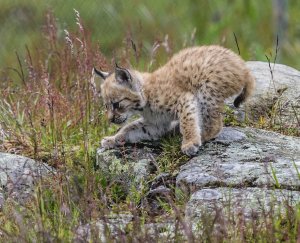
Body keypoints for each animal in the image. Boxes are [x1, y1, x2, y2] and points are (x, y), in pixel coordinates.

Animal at [94, 45, 255, 156]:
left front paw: (190, 142)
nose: (110, 120)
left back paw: (199, 136)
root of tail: (242, 64)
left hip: (206, 90)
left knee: (215, 124)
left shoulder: (184, 99)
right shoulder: (157, 123)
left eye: (117, 104)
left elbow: (187, 121)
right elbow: (130, 128)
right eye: (106, 106)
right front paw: (113, 139)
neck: (145, 100)